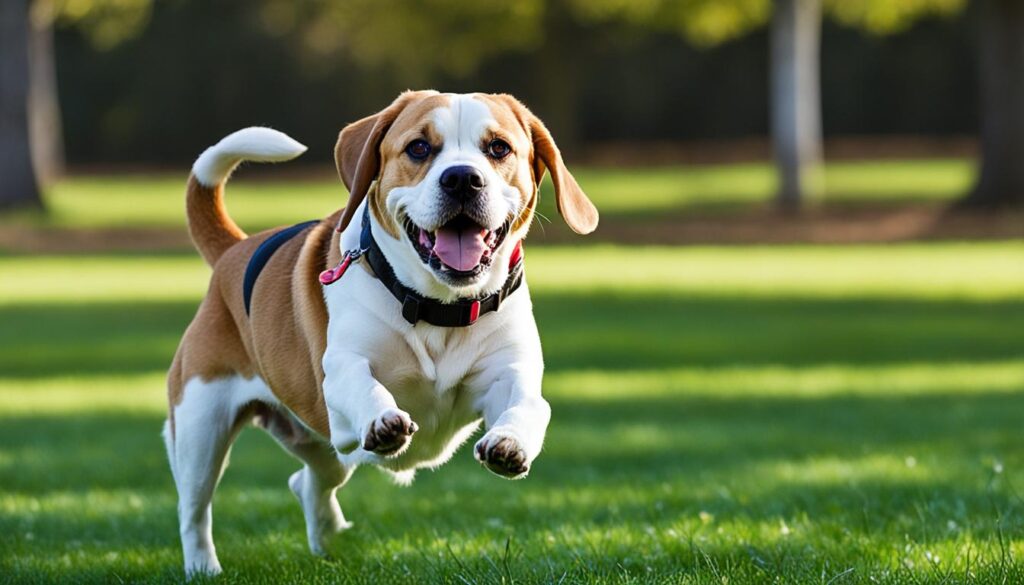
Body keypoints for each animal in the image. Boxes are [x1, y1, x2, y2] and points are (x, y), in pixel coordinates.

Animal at [164, 91, 598, 577]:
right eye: (418, 148)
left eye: (499, 148)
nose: (462, 179)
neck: (438, 308)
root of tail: (233, 251)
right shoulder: (340, 370)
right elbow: (363, 383)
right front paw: (382, 419)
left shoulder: (508, 373)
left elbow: (529, 405)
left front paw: (511, 443)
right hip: (201, 427)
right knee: (194, 509)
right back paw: (203, 567)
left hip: (324, 449)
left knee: (307, 482)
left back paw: (328, 537)